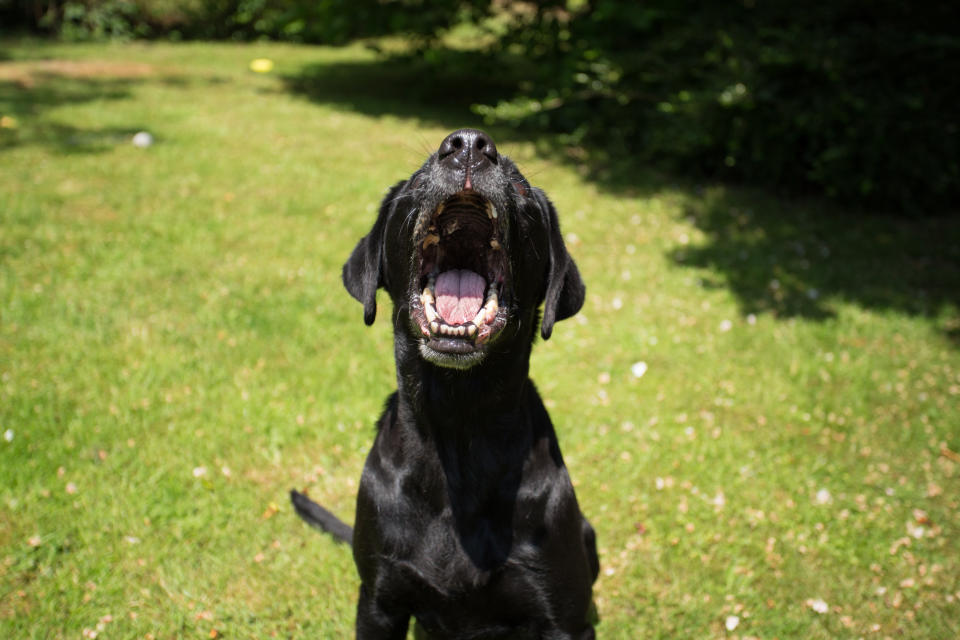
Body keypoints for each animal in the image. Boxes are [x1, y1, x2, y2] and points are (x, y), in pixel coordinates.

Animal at [290, 127, 600, 636]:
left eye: (521, 190)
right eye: (417, 183)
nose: (470, 144)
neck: (458, 428)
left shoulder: (563, 618)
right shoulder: (380, 601)